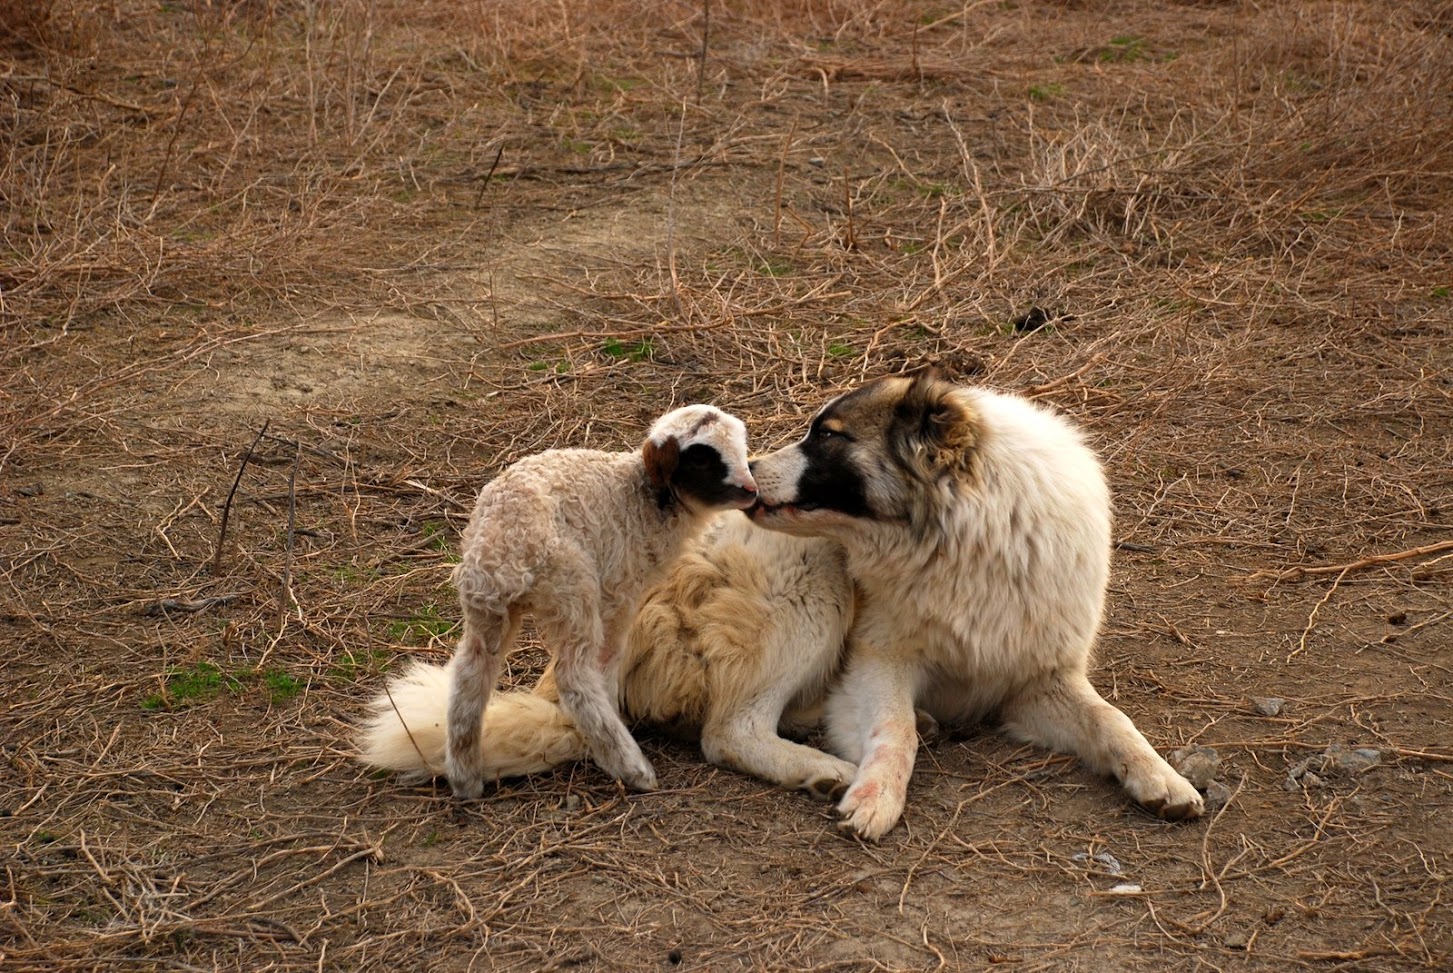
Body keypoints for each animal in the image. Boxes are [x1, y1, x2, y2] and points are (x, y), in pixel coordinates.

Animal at [428, 405, 758, 798]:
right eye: (702, 459)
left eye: (739, 446)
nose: (750, 490)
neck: (642, 499)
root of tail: (505, 546)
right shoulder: (620, 593)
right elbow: (610, 660)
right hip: (574, 590)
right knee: (574, 676)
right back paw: (631, 766)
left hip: (486, 608)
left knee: (469, 673)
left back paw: (465, 778)